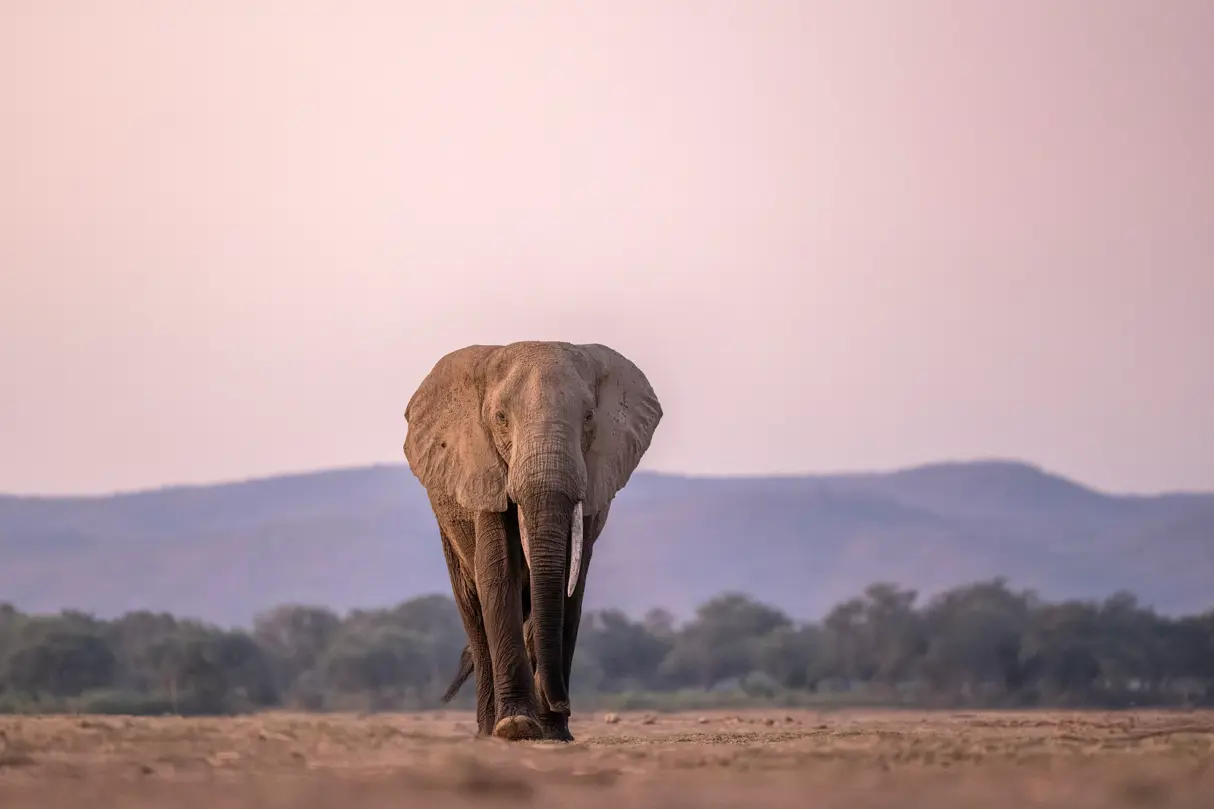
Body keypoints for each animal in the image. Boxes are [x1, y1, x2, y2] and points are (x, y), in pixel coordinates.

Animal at [402, 341, 662, 742]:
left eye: (589, 416)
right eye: (500, 418)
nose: (563, 704)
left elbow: (570, 588)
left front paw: (554, 733)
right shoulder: (483, 472)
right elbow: (498, 573)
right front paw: (517, 727)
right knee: (474, 613)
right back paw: (488, 729)